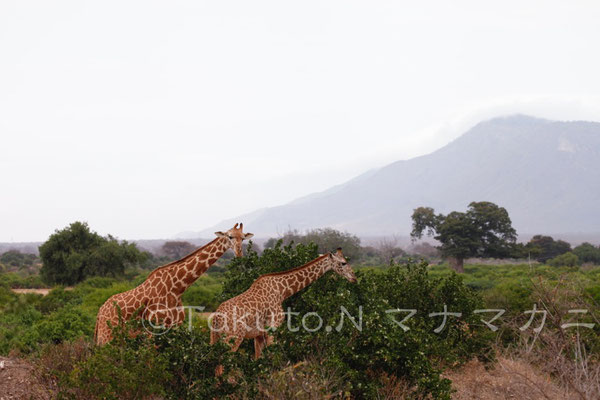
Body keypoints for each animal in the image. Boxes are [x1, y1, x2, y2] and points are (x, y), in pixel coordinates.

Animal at [94, 223, 253, 346]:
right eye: (230, 236)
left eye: (243, 238)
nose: (239, 254)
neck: (177, 287)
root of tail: (100, 312)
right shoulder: (154, 330)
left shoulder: (175, 327)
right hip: (106, 336)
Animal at [210, 248, 356, 360]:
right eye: (343, 263)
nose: (354, 277)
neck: (282, 291)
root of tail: (216, 318)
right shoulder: (273, 326)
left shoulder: (259, 334)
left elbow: (258, 359)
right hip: (234, 336)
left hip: (215, 337)